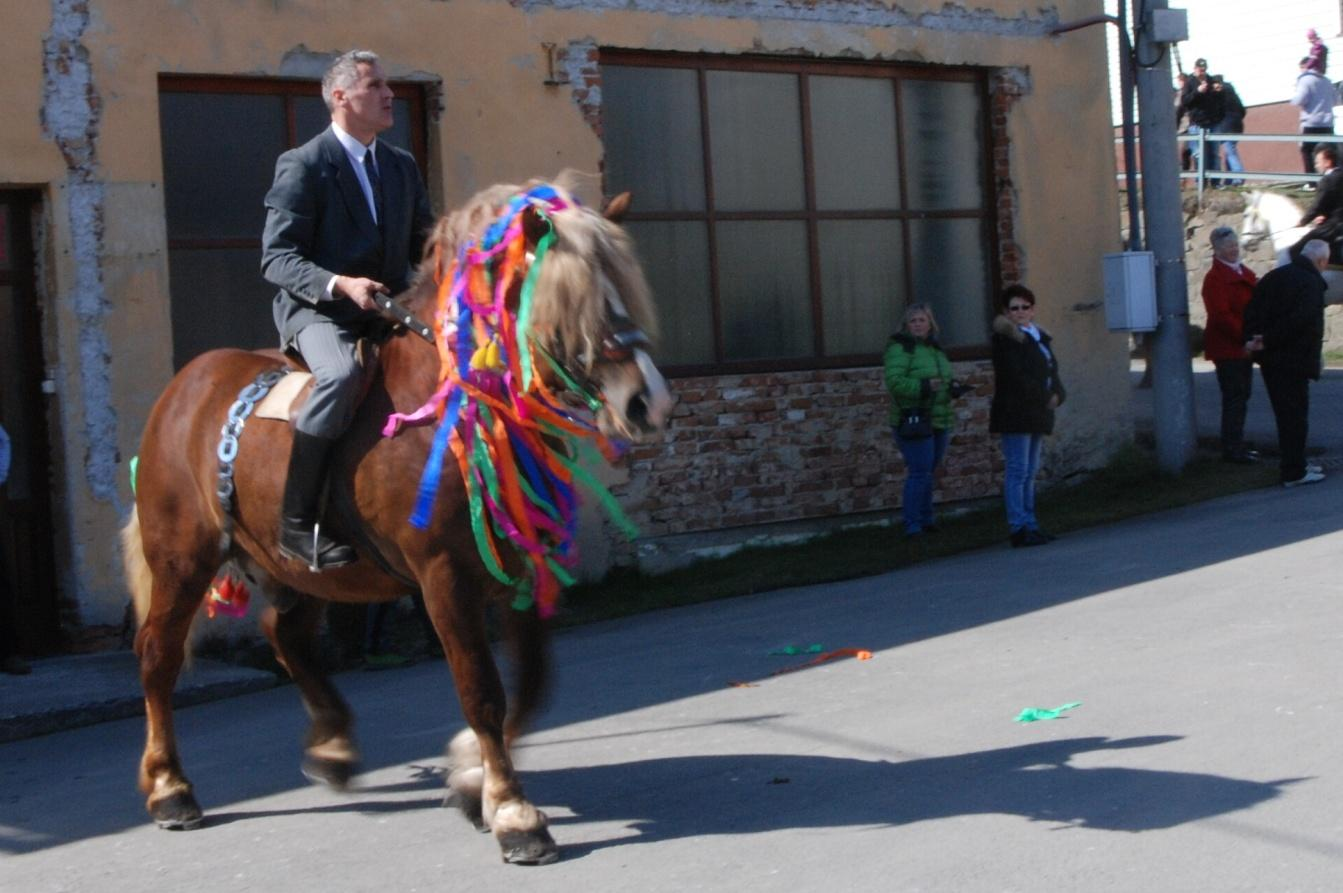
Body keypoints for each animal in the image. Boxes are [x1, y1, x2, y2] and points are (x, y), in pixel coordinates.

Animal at [120, 175, 671, 864]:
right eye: (566, 303)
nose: (648, 402)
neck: (450, 408)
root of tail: (184, 388)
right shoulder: (444, 578)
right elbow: (482, 690)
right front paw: (514, 813)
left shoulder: (518, 566)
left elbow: (533, 681)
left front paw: (469, 777)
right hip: (182, 560)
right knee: (159, 657)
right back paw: (170, 788)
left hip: (303, 571)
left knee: (285, 635)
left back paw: (332, 745)